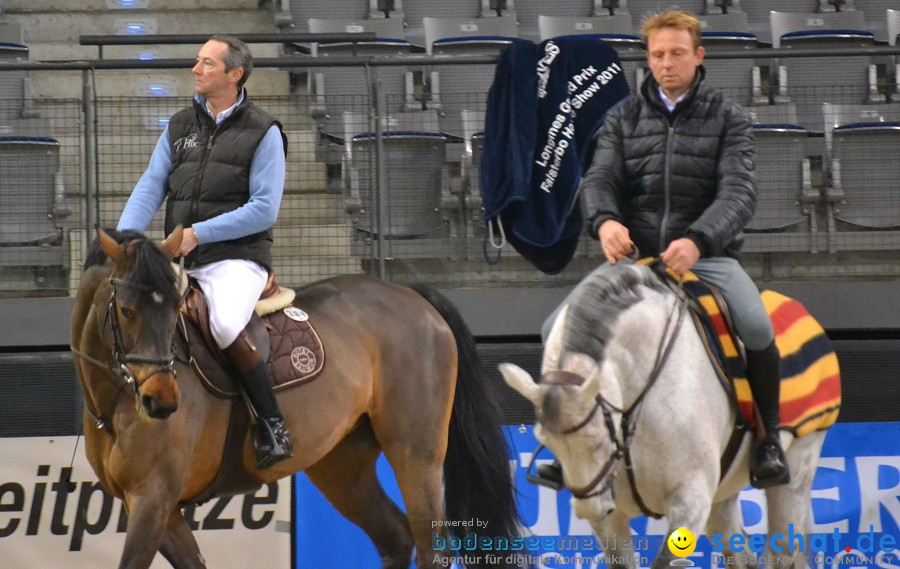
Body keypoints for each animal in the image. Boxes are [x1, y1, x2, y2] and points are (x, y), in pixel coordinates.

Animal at [70, 227, 524, 568]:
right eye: (127, 311)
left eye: (174, 308)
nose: (162, 402)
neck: (114, 400)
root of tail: (409, 295)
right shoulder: (157, 509)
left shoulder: (153, 499)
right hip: (341, 466)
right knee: (395, 537)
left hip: (416, 453)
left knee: (433, 548)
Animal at [500, 262, 836, 568]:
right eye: (548, 443)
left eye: (599, 440)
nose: (589, 509)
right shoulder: (613, 519)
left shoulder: (690, 501)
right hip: (722, 495)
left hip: (798, 467)